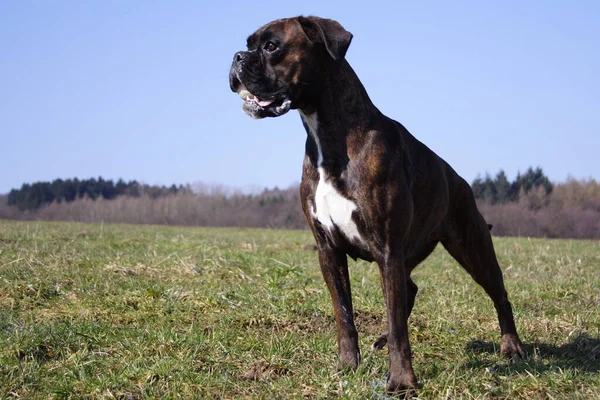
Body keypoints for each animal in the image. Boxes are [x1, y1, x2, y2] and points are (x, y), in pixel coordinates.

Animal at [230, 14, 524, 394]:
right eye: (248, 45)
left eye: (270, 46)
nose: (236, 57)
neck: (330, 137)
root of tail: (459, 179)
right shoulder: (329, 250)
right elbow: (344, 315)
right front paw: (347, 366)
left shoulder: (386, 248)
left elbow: (399, 326)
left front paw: (401, 381)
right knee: (409, 290)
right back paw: (381, 338)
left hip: (471, 246)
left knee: (499, 295)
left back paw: (511, 347)